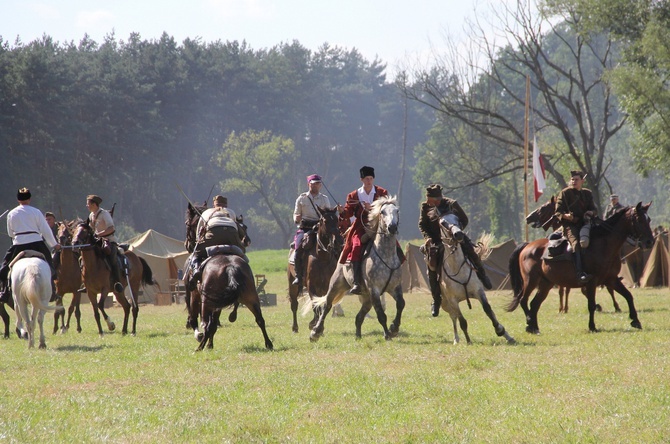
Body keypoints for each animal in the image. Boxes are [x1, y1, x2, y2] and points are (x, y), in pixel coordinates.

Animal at [308, 196, 406, 342]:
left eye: (397, 211)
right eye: (382, 212)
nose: (392, 227)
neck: (386, 255)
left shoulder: (394, 287)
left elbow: (401, 304)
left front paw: (394, 328)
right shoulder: (374, 290)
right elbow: (381, 315)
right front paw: (388, 334)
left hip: (366, 297)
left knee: (359, 316)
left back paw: (358, 335)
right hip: (336, 285)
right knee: (327, 306)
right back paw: (316, 332)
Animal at [430, 208, 520, 344]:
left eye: (457, 218)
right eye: (443, 223)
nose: (458, 234)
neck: (457, 268)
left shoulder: (478, 291)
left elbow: (489, 310)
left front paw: (502, 332)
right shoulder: (453, 300)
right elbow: (462, 321)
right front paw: (468, 341)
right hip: (445, 303)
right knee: (453, 317)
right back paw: (456, 339)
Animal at [510, 201, 656, 332]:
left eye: (648, 220)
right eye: (639, 219)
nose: (650, 241)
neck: (604, 244)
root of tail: (527, 246)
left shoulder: (611, 279)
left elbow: (628, 295)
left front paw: (635, 320)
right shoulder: (592, 281)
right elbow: (590, 304)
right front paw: (592, 326)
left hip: (546, 283)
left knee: (534, 303)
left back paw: (534, 327)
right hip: (531, 280)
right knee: (524, 300)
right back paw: (530, 323)